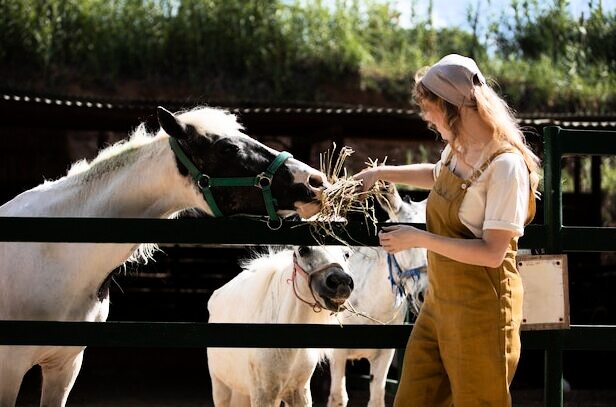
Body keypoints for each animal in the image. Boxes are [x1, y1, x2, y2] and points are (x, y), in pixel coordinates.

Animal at [328, 186, 428, 407]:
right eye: (403, 242)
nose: (425, 295)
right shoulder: (337, 352)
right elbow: (338, 398)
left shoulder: (384, 354)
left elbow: (377, 399)